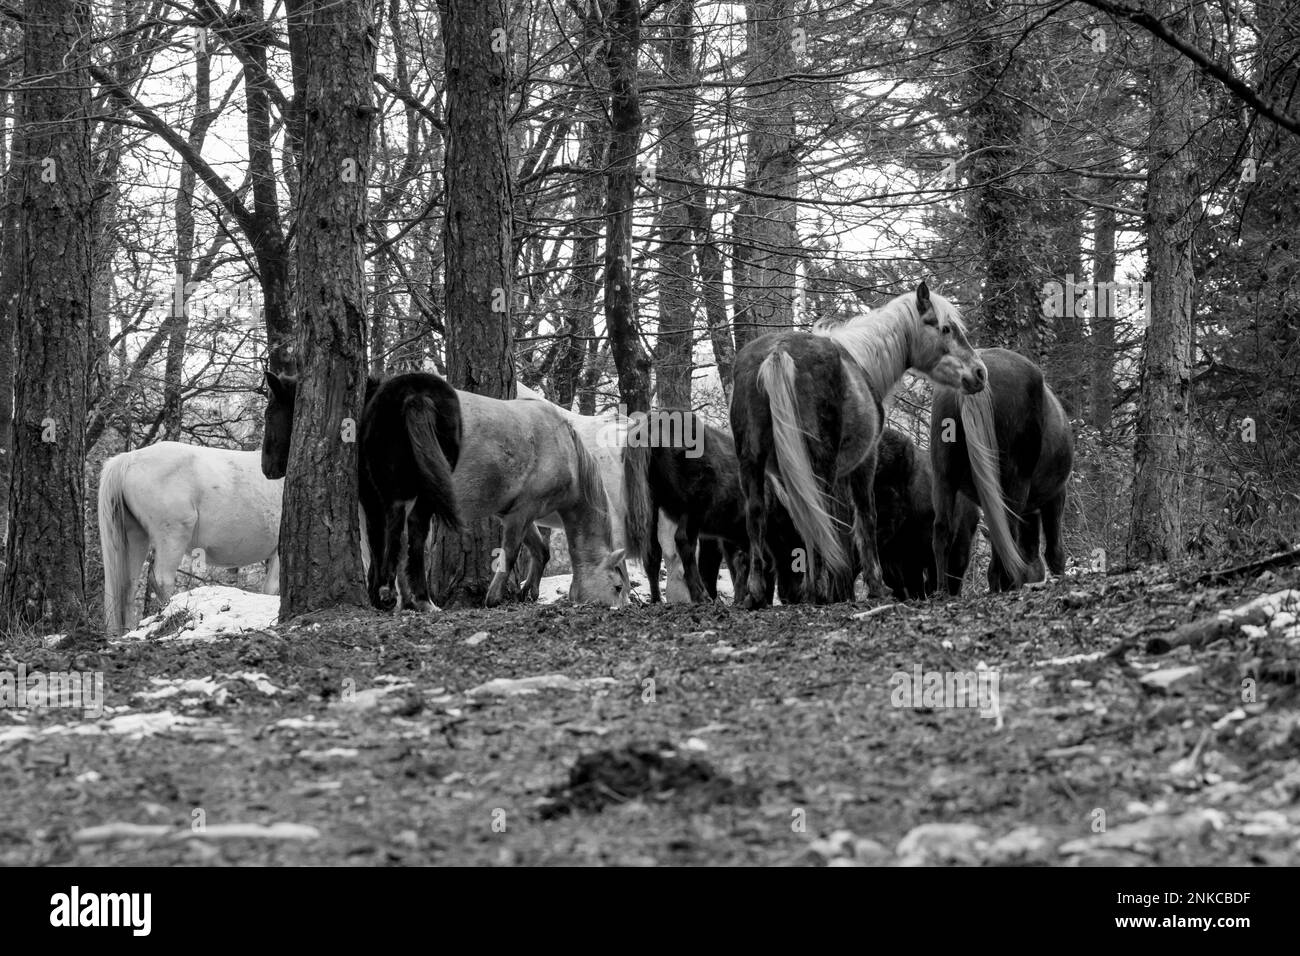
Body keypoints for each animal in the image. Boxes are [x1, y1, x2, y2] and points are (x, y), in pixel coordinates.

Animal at [100, 442, 282, 634]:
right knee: (162, 581)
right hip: (173, 535)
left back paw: (128, 630)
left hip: (136, 536)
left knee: (129, 585)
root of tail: (129, 458)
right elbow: (272, 588)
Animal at [260, 369, 462, 608]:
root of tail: (417, 397)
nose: (266, 468)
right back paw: (423, 598)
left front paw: (377, 590)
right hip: (428, 488)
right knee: (416, 528)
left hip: (390, 486)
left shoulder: (369, 494)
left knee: (394, 523)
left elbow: (376, 538)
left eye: (269, 415)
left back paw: (388, 591)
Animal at [733, 280, 982, 608]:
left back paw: (758, 593)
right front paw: (875, 588)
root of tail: (778, 352)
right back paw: (818, 592)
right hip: (818, 466)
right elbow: (863, 520)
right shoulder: (864, 463)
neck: (861, 360)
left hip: (752, 463)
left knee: (757, 514)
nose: (979, 373)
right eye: (946, 329)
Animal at [935, 348, 1076, 595]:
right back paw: (1008, 583)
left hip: (943, 474)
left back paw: (943, 591)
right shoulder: (1056, 494)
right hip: (1014, 478)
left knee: (943, 529)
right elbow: (1053, 550)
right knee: (1007, 531)